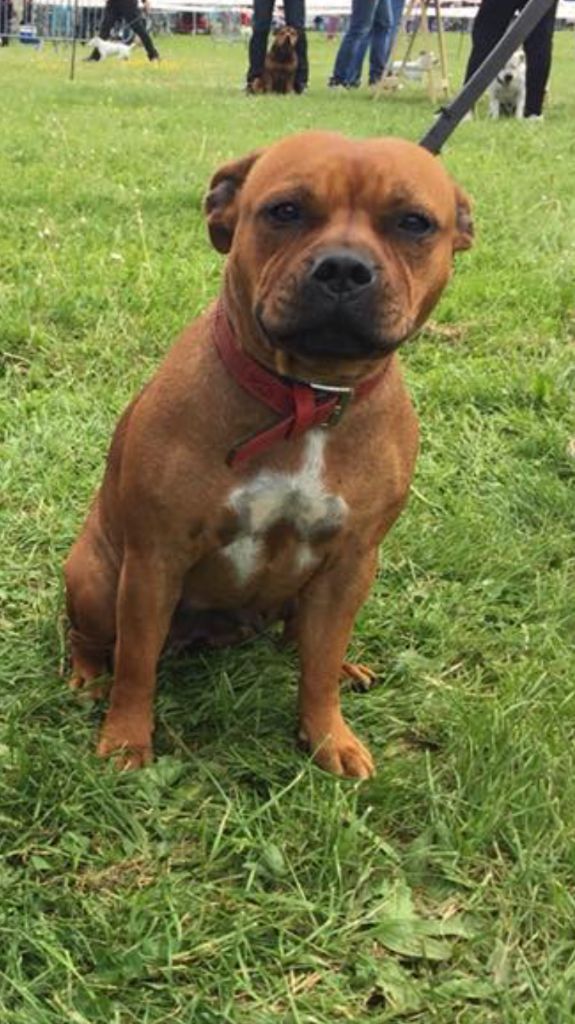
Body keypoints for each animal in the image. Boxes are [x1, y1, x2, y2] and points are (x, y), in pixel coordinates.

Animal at [64, 132, 472, 778]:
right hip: (97, 578)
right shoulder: (155, 560)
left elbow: (318, 668)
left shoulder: (352, 562)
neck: (306, 398)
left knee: (305, 643)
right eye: (285, 211)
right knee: (97, 641)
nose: (343, 267)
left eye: (413, 223)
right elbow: (136, 665)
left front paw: (327, 736)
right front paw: (127, 740)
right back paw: (86, 678)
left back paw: (346, 666)